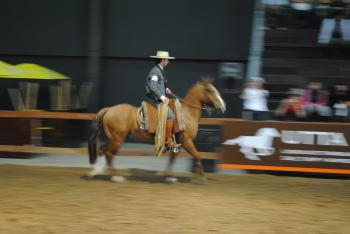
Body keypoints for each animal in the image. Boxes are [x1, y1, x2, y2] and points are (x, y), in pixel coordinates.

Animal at [86, 78, 226, 181]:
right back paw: (115, 177)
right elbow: (197, 155)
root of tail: (109, 109)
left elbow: (172, 159)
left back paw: (96, 172)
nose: (223, 106)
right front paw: (202, 177)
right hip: (117, 139)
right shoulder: (186, 141)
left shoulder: (179, 143)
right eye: (210, 90)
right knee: (109, 154)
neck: (186, 113)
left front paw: (169, 177)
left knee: (101, 150)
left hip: (115, 139)